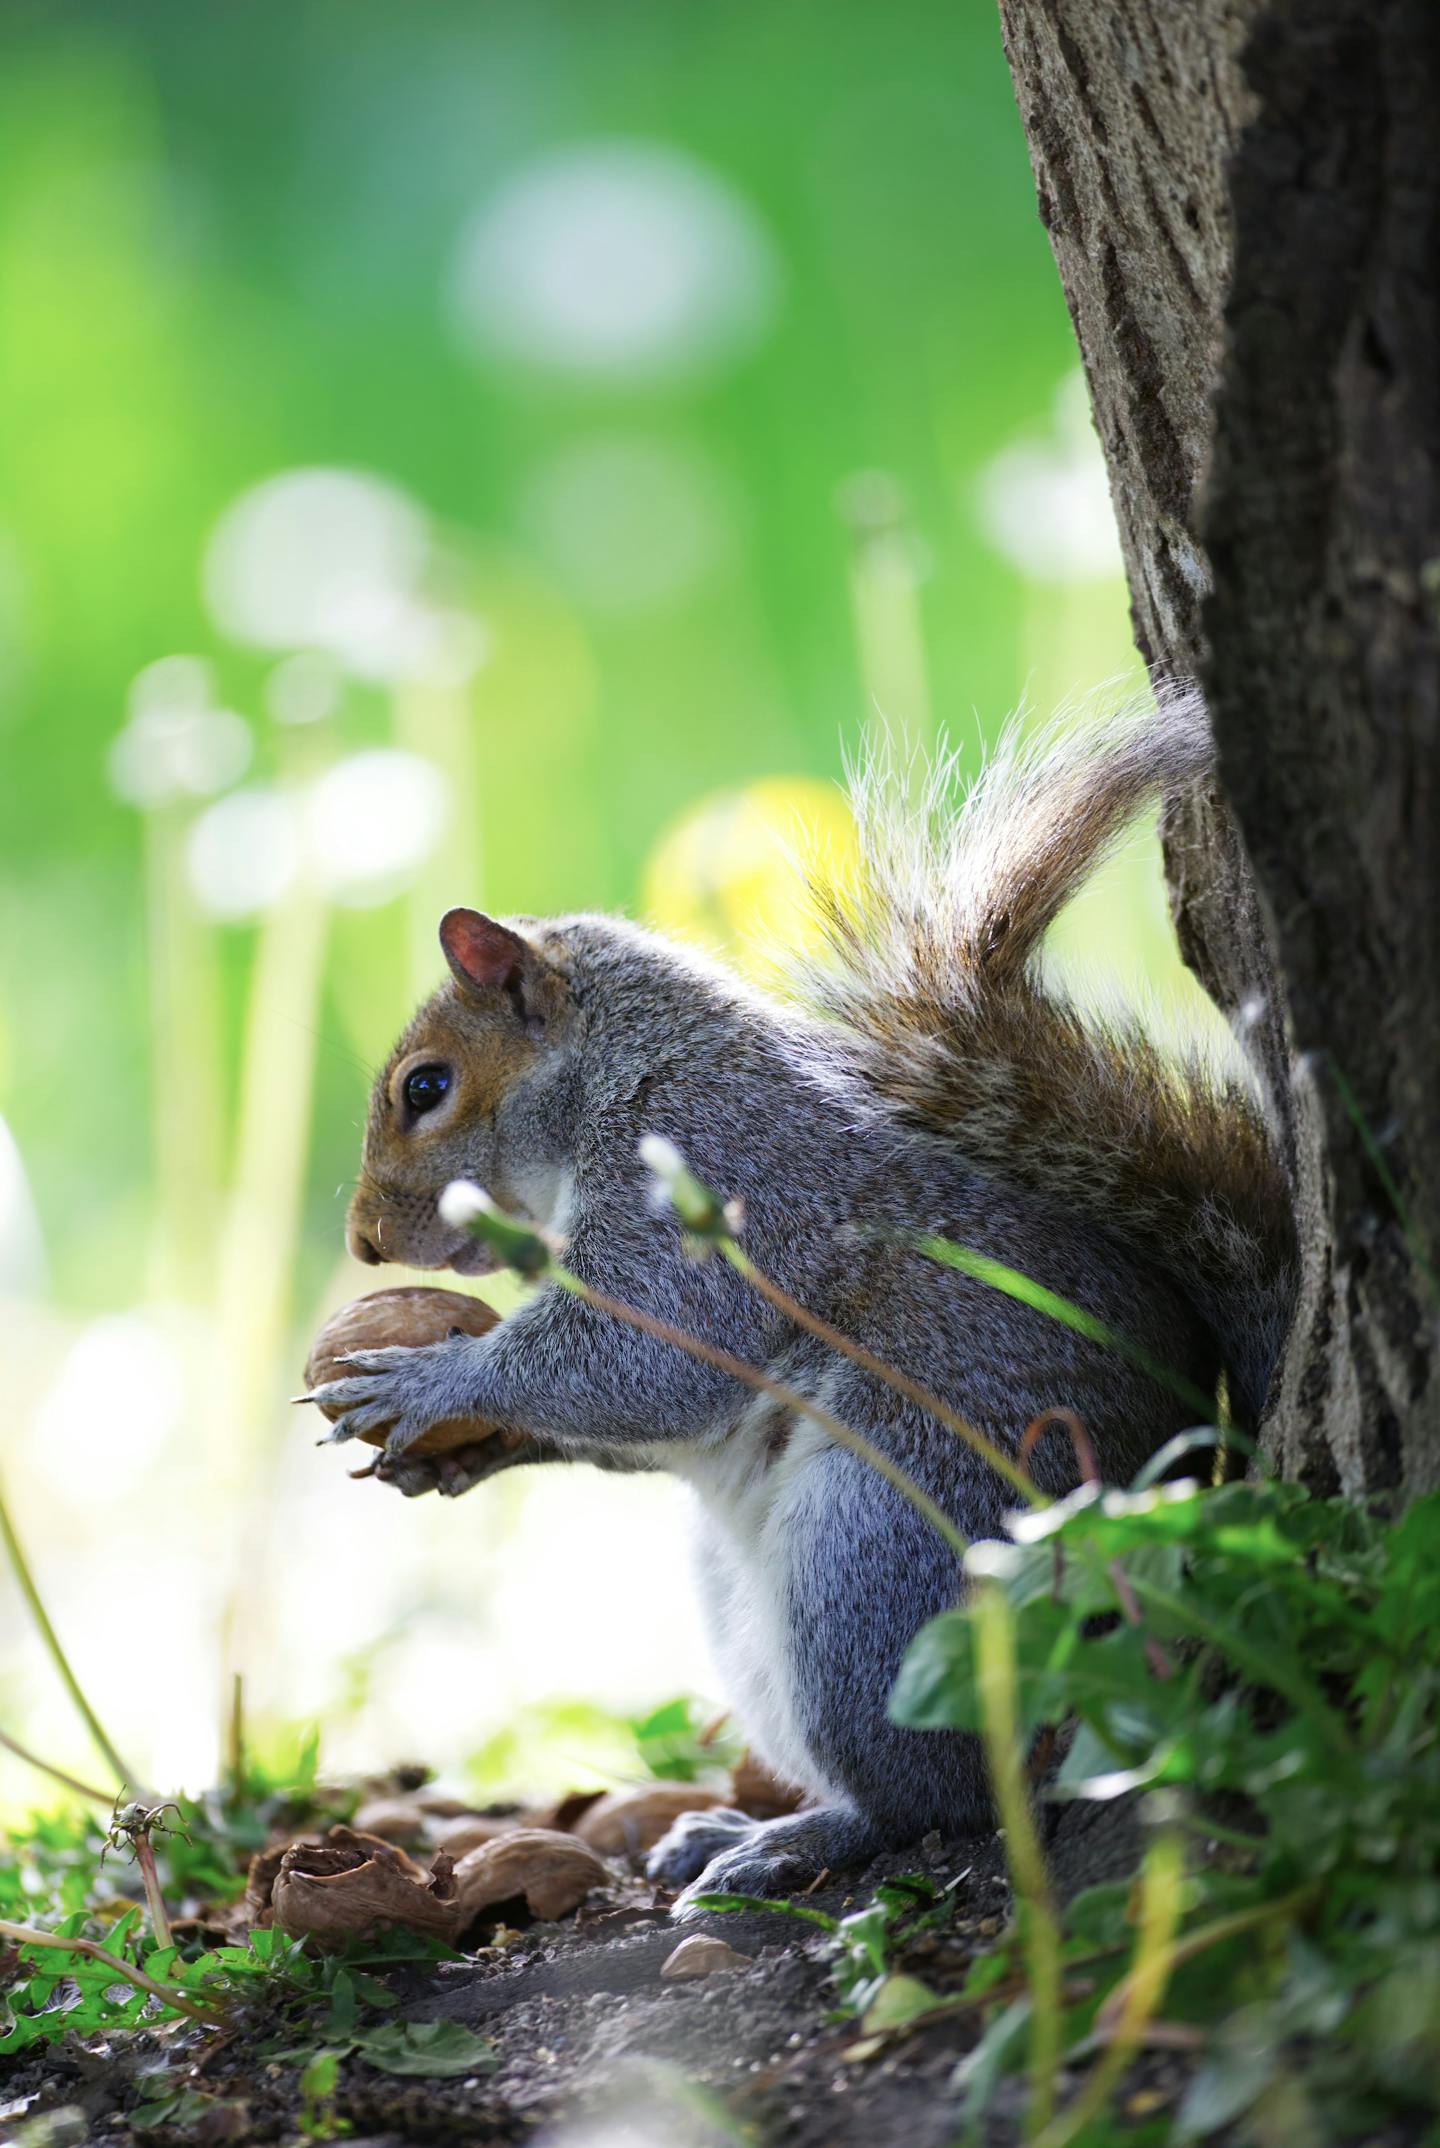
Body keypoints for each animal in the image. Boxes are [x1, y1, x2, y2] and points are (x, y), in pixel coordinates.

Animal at [312, 686, 1296, 1908]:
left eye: (427, 1087)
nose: (362, 1242)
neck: (624, 1075)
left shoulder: (721, 1184)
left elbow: (647, 1360)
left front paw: (429, 1378)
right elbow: (639, 1418)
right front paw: (463, 1451)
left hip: (880, 1569)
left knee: (945, 1797)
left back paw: (794, 1840)